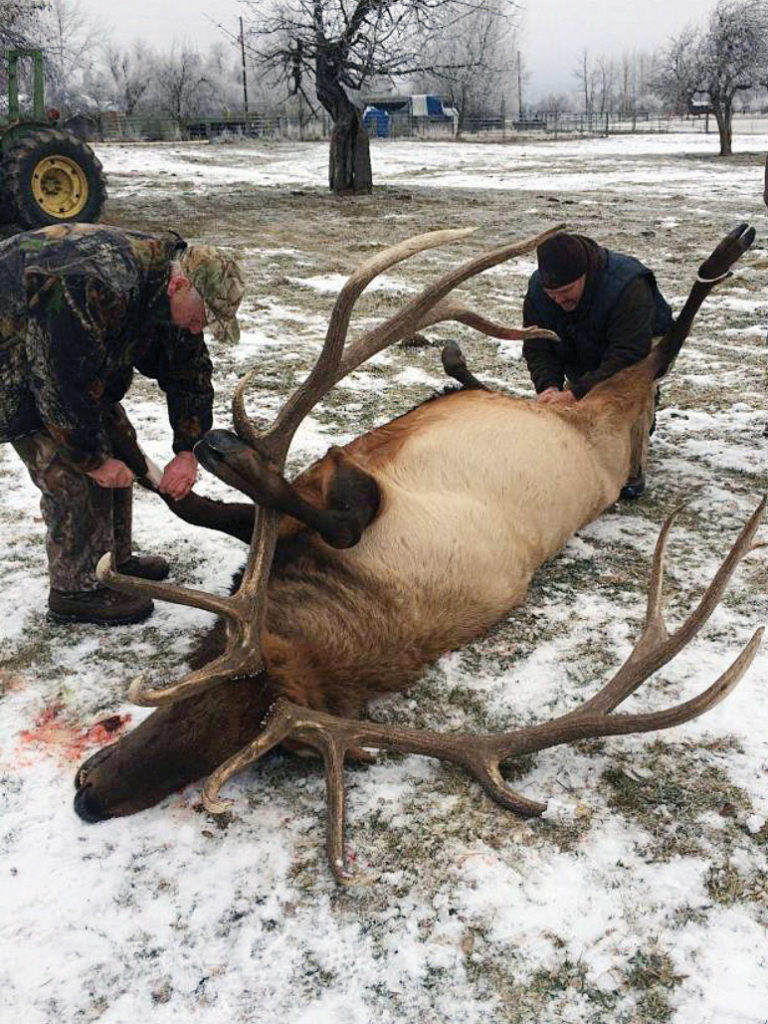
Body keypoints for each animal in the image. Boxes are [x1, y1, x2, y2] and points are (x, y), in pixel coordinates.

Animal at [73, 222, 765, 880]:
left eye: (240, 743)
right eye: (193, 680)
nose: (88, 796)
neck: (343, 589)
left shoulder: (340, 494)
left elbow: (312, 511)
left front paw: (208, 451)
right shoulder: (307, 502)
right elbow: (197, 506)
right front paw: (140, 446)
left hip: (616, 415)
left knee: (654, 356)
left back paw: (723, 254)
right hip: (566, 406)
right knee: (544, 378)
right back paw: (458, 359)